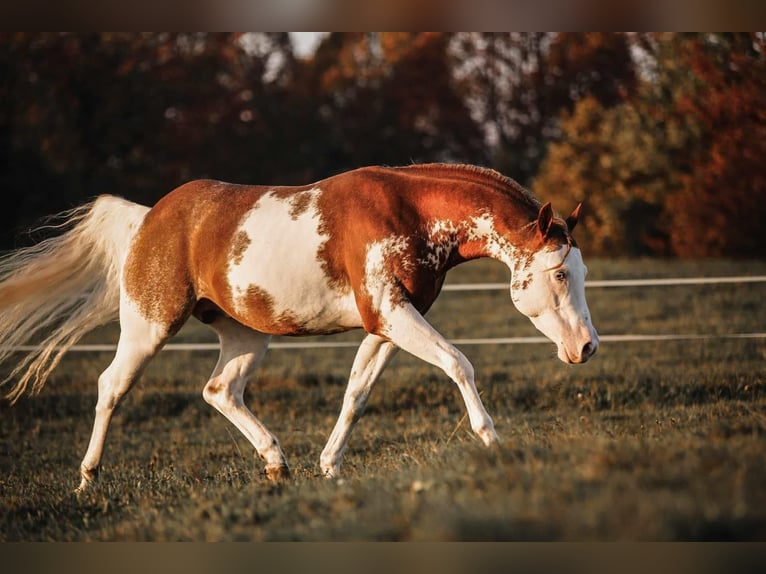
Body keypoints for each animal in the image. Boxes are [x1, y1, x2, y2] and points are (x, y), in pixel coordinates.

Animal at [0, 163, 598, 492]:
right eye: (561, 273)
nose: (587, 347)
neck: (411, 212)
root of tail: (148, 218)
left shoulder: (389, 322)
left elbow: (356, 394)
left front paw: (329, 467)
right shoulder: (392, 314)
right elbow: (459, 363)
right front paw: (492, 440)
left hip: (246, 335)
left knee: (219, 390)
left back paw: (276, 464)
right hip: (149, 326)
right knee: (111, 387)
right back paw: (87, 480)